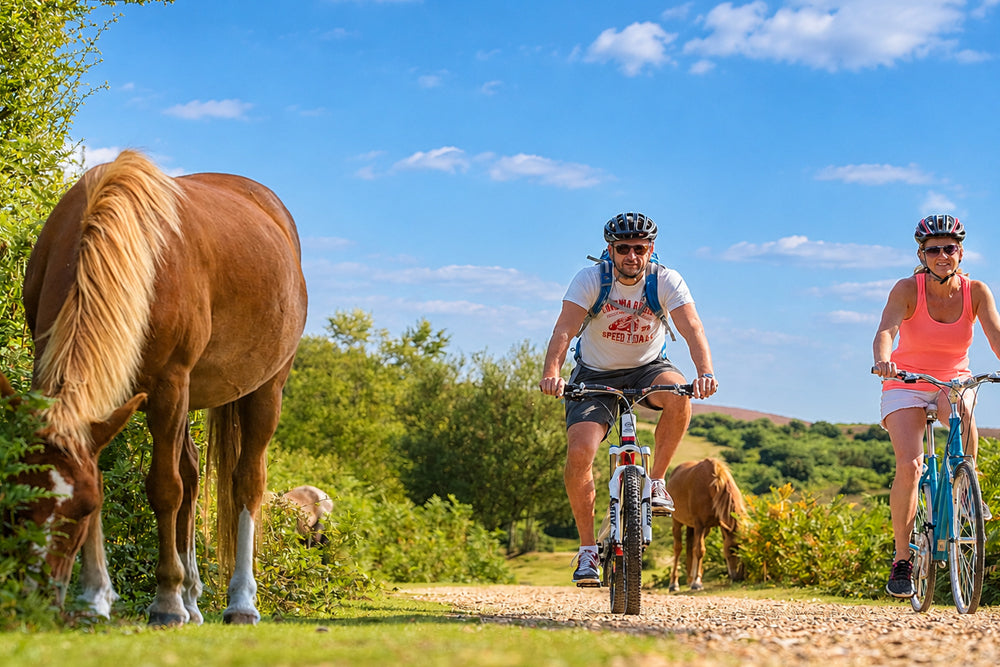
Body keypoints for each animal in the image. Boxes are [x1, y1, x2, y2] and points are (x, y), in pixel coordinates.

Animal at [1, 150, 307, 626]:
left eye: (80, 509)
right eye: (16, 504)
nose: (37, 597)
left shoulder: (168, 386)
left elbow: (165, 489)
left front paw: (165, 602)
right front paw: (95, 599)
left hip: (263, 390)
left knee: (246, 484)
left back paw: (239, 602)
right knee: (194, 476)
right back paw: (194, 598)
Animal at [666, 457, 747, 591]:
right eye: (730, 550)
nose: (738, 577)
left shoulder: (713, 526)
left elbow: (697, 550)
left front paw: (696, 580)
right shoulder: (699, 524)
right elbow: (700, 551)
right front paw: (697, 583)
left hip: (703, 529)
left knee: (692, 547)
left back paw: (690, 579)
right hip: (677, 522)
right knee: (678, 549)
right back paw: (674, 583)